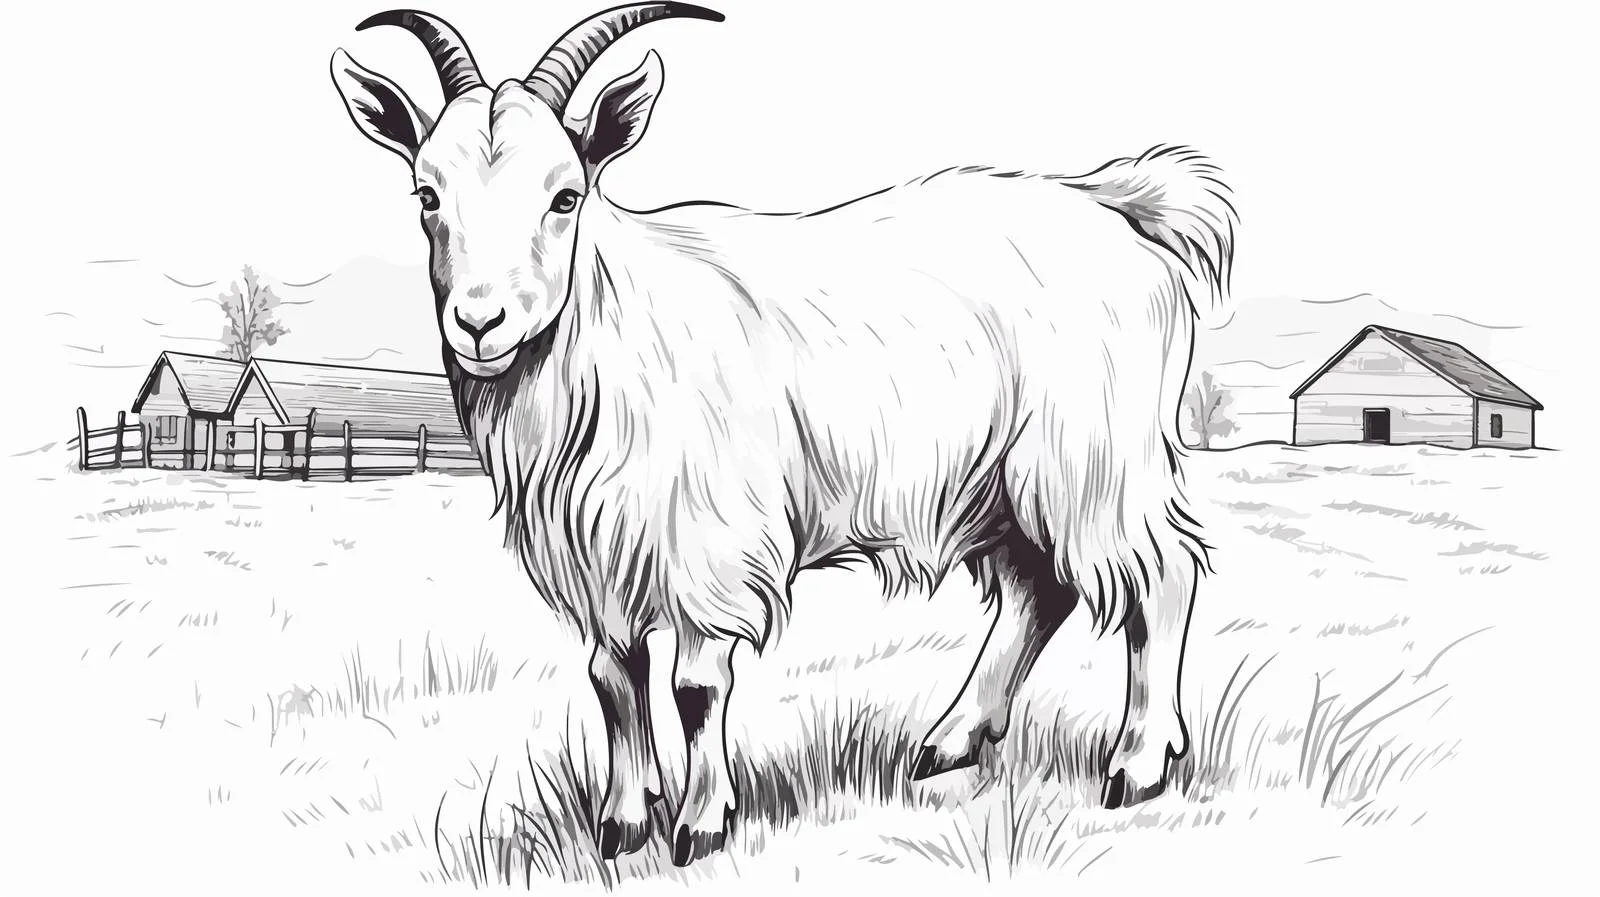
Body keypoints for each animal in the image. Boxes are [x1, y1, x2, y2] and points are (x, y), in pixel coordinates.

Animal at [331, 4, 1236, 867]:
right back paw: (952, 738)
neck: (615, 326)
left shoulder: (707, 544)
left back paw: (1139, 763)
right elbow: (613, 679)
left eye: (564, 196)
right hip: (1006, 480)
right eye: (426, 196)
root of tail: (1120, 204)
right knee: (1036, 589)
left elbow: (695, 685)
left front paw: (701, 823)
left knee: (1160, 576)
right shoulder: (602, 555)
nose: (479, 322)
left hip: (1095, 457)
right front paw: (623, 820)